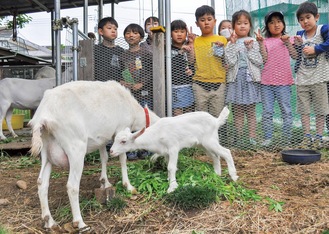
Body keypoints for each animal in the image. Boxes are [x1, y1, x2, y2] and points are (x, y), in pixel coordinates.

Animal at [28, 80, 160, 230]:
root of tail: (43, 115)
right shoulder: (120, 129)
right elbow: (122, 158)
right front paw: (129, 186)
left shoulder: (101, 138)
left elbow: (104, 157)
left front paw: (105, 183)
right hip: (75, 146)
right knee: (72, 186)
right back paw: (80, 222)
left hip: (46, 150)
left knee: (42, 183)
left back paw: (49, 221)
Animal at [110, 106, 238, 194]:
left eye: (123, 141)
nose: (111, 151)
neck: (156, 134)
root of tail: (216, 121)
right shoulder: (166, 152)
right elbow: (168, 166)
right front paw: (169, 179)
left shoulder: (173, 148)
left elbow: (171, 167)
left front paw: (172, 187)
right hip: (203, 144)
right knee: (215, 156)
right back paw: (216, 174)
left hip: (210, 141)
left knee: (226, 152)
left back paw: (234, 176)